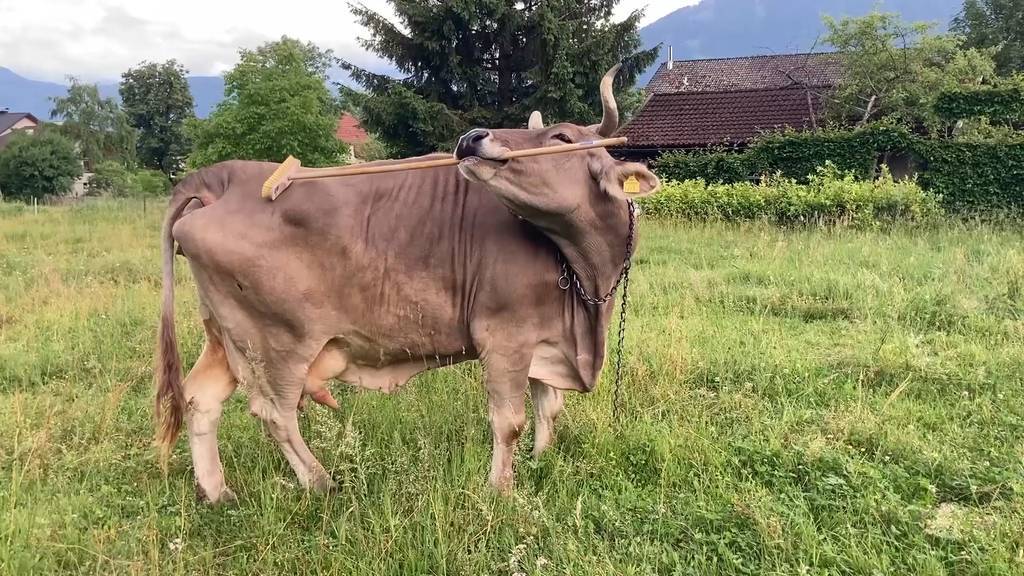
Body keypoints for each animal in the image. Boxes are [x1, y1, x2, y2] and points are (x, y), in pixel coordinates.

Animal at [155, 65, 661, 503]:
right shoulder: (506, 337)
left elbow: (547, 406)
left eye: (562, 137)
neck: (586, 281)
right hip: (277, 341)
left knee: (200, 398)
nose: (472, 137)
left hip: (225, 335)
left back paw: (218, 492)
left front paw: (540, 461)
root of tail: (225, 175)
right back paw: (321, 483)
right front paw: (501, 490)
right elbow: (509, 420)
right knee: (274, 413)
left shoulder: (545, 338)